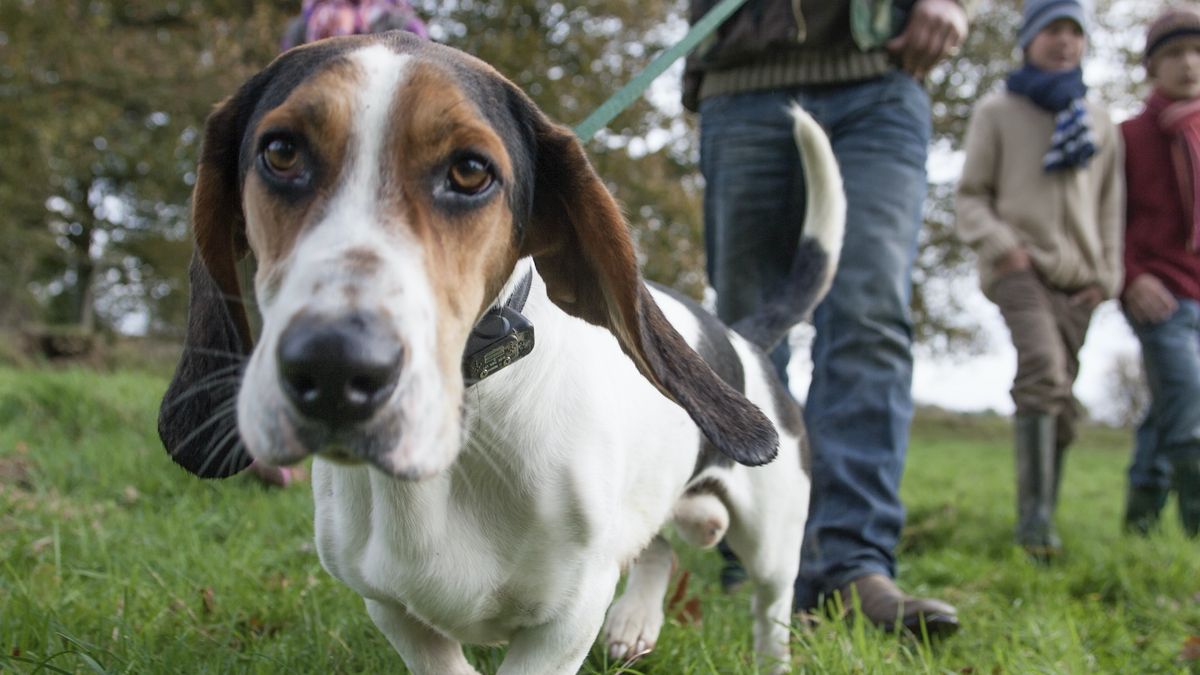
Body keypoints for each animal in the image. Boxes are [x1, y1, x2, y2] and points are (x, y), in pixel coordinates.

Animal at [159, 30, 849, 672]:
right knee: (658, 548)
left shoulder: (566, 620)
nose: (334, 368)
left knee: (768, 610)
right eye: (280, 152)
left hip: (772, 543)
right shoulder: (389, 605)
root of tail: (740, 336)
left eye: (470, 171)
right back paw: (636, 622)